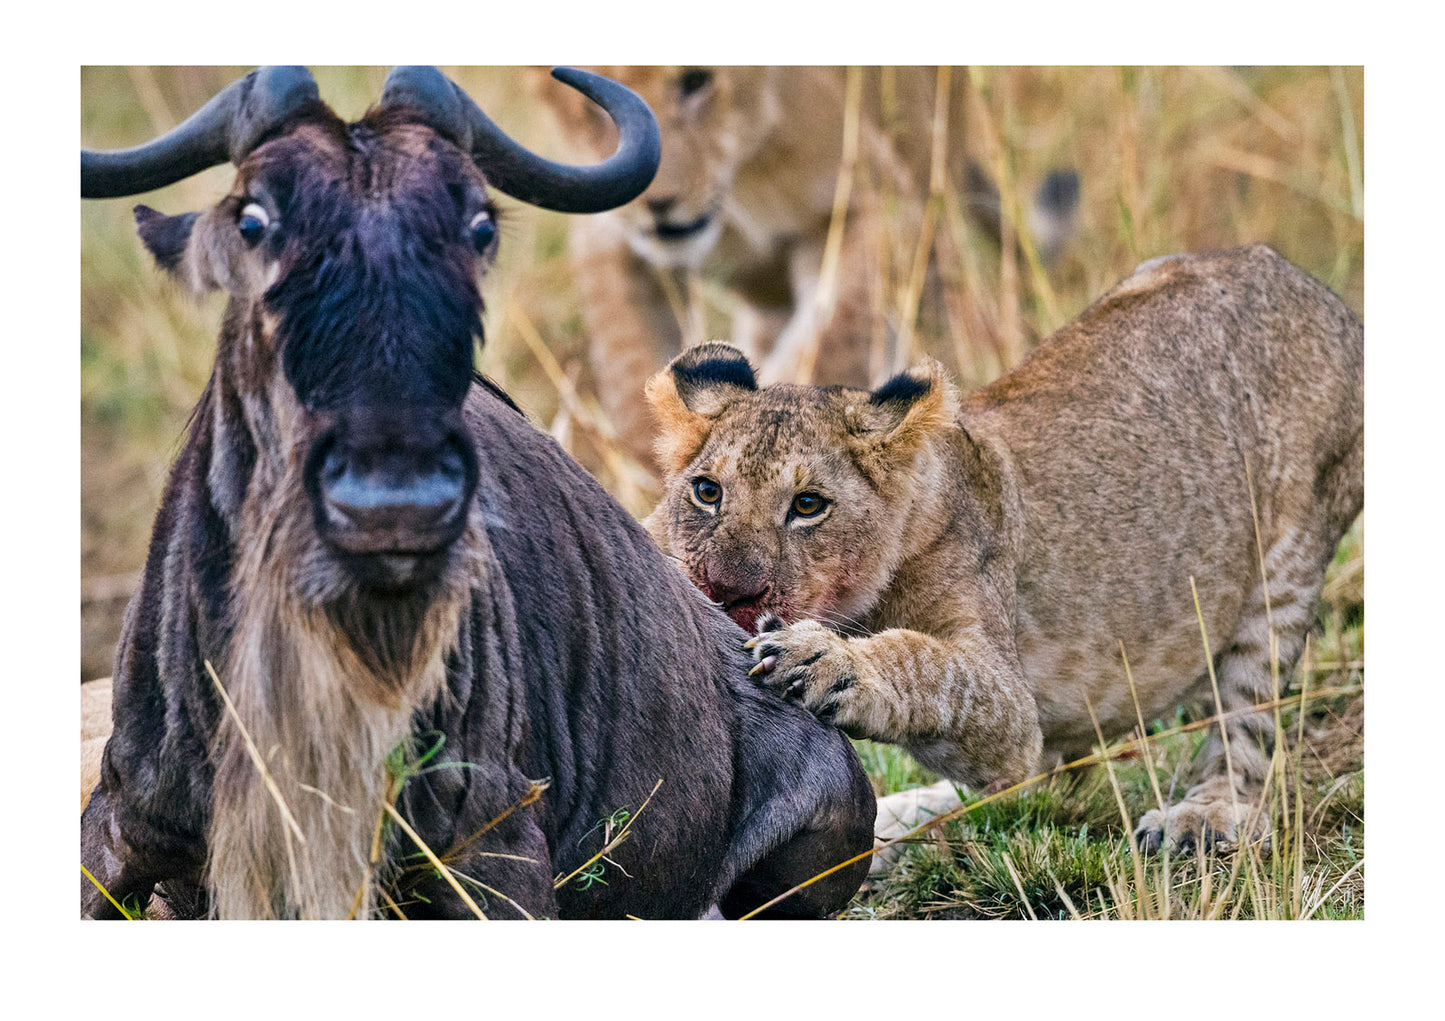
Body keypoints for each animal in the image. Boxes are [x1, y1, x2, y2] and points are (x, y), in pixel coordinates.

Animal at [540, 66, 1078, 469]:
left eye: (696, 79)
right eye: (589, 106)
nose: (659, 205)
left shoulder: (875, 202)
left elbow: (829, 345)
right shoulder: (604, 234)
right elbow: (632, 400)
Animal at [642, 244, 1362, 863]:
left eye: (809, 505)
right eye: (707, 492)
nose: (726, 591)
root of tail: (1297, 278)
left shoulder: (1007, 696)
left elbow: (929, 664)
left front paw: (827, 661)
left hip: (1286, 571)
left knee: (1245, 726)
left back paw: (1203, 817)